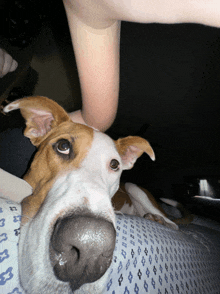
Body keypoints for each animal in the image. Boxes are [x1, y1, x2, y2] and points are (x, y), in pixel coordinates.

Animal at [3, 97, 178, 294]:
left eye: (115, 164)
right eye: (63, 146)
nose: (89, 250)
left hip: (134, 187)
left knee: (174, 224)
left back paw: (158, 219)